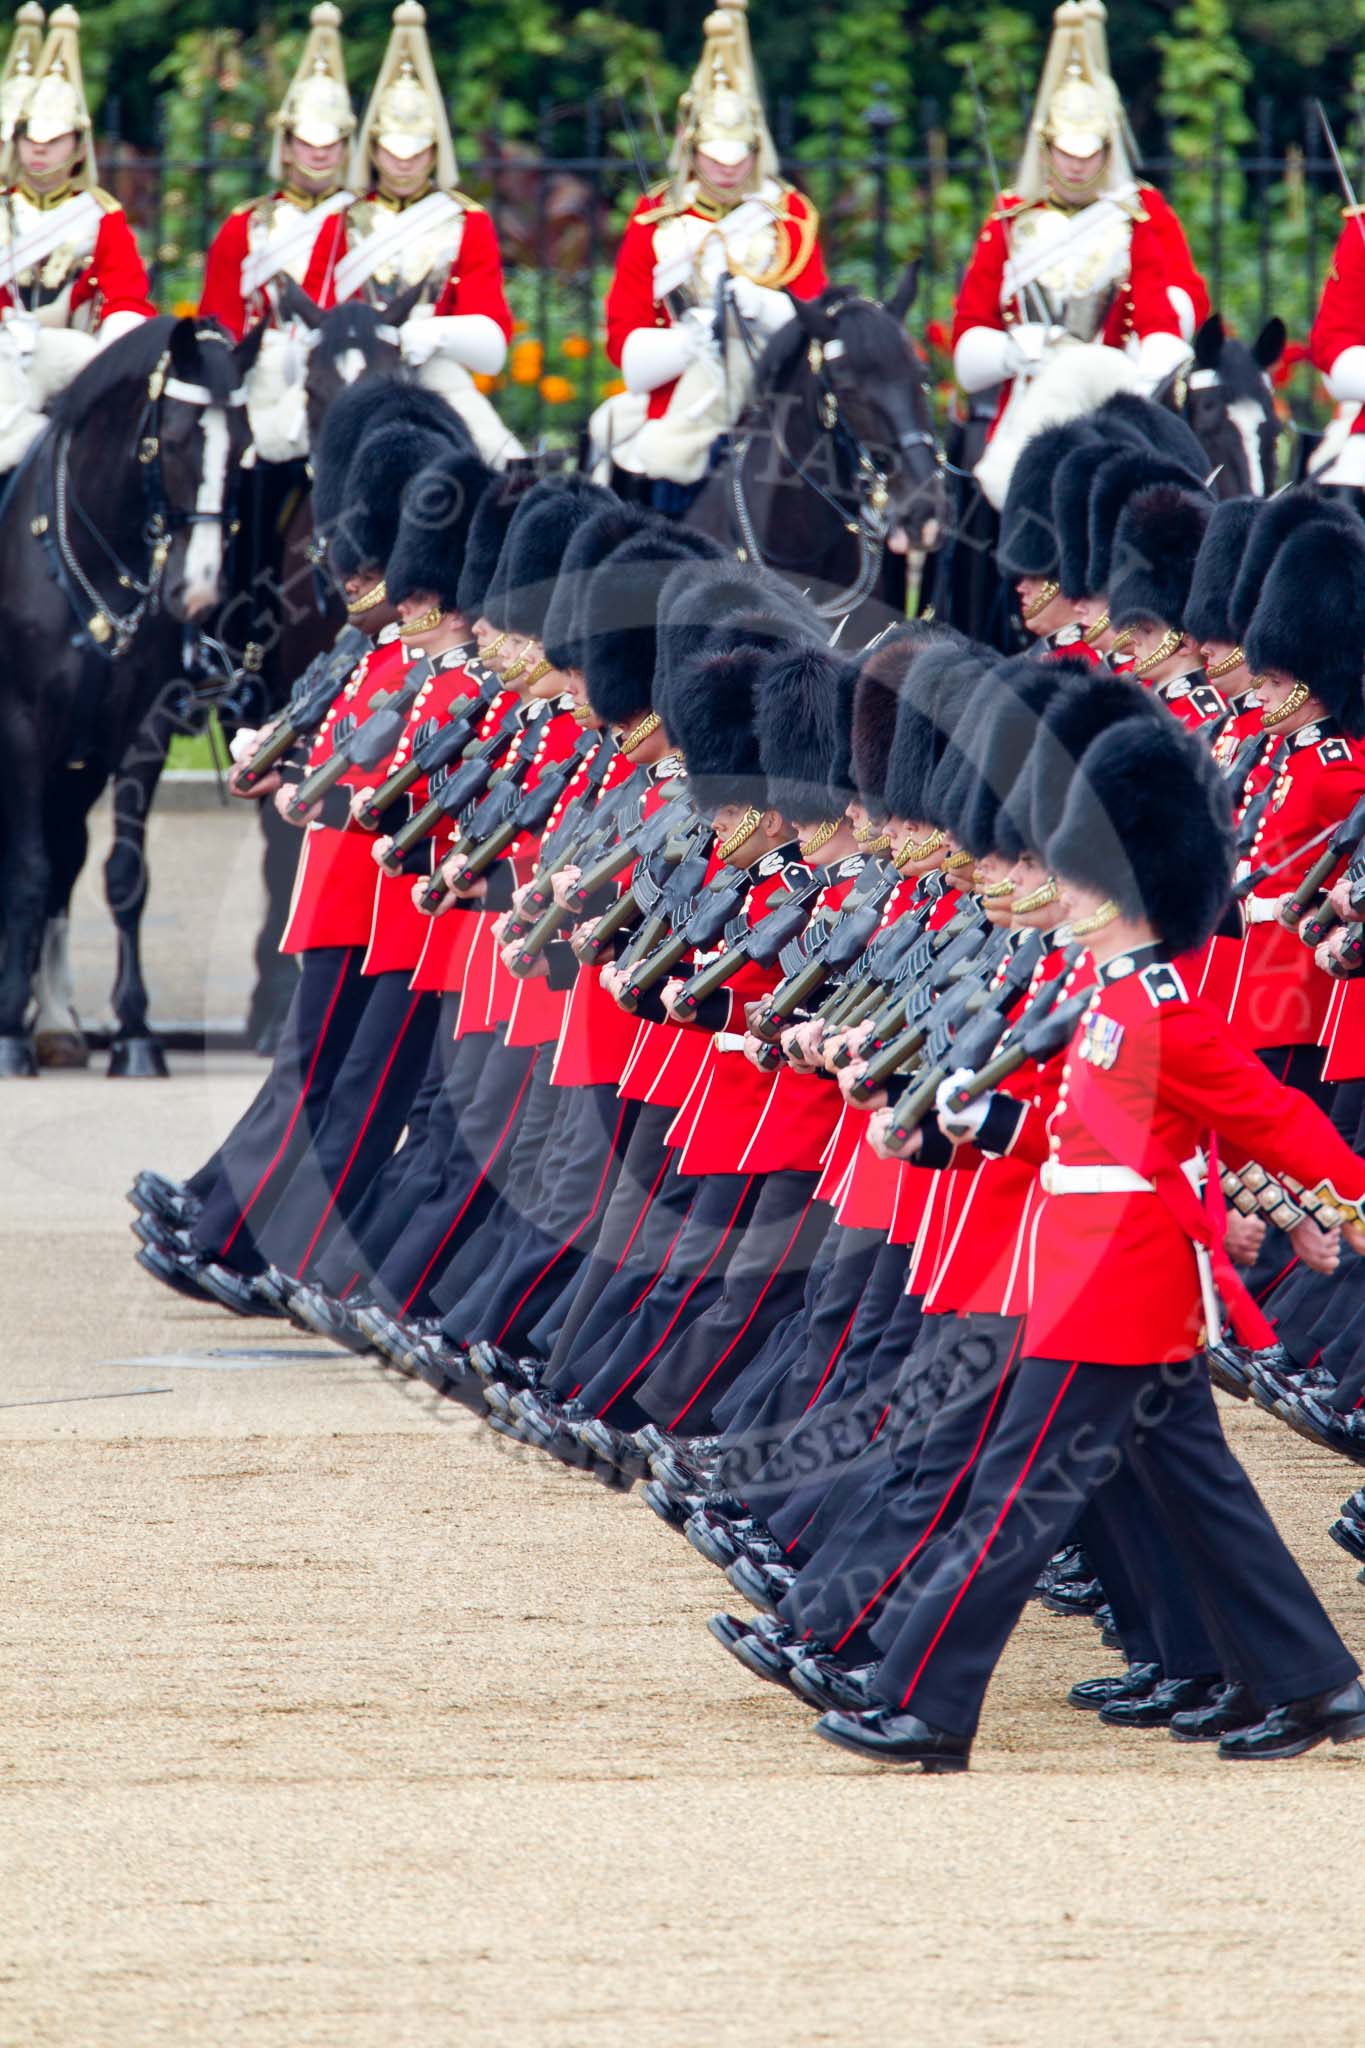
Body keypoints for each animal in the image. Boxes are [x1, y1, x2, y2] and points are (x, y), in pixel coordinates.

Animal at [0, 313, 261, 1081]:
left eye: (243, 445)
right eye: (171, 440)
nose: (196, 593)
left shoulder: (138, 731)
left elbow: (121, 876)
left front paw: (136, 1031)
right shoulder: (21, 728)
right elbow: (26, 870)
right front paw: (8, 1029)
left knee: (67, 855)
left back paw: (58, 1021)